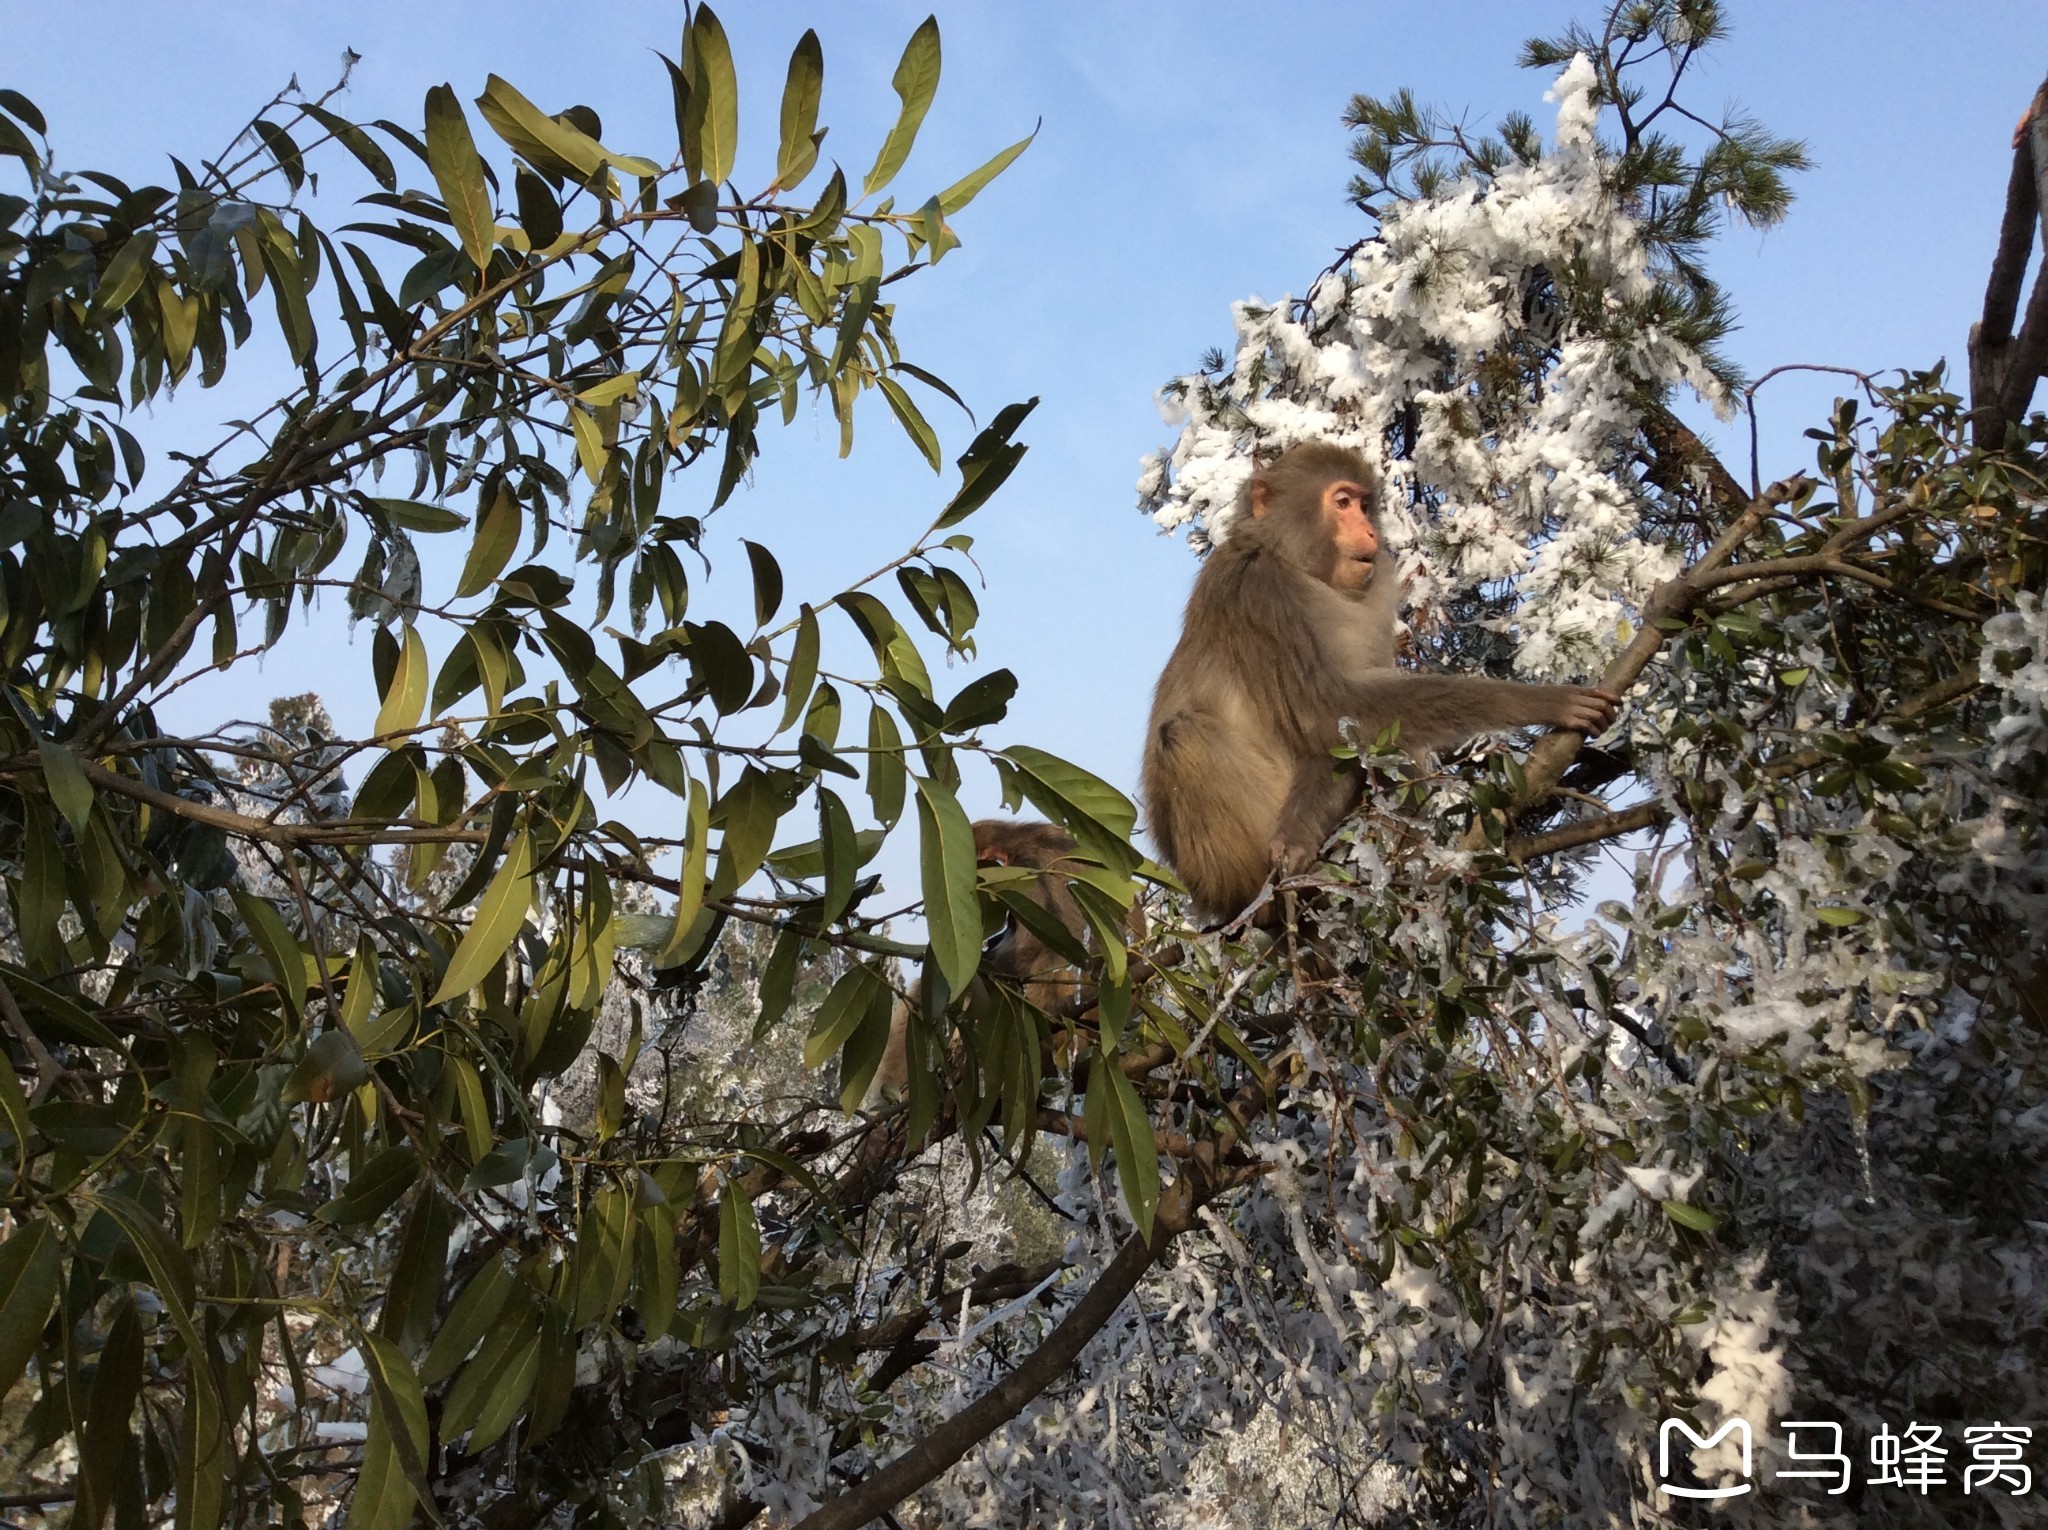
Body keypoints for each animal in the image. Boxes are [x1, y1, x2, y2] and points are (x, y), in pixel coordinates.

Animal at [1138, 436, 1613, 925]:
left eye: (1365, 505)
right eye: (1342, 503)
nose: (1369, 531)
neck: (1293, 564)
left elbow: (1347, 733)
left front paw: (1300, 841)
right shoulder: (1259, 591)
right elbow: (1327, 710)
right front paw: (1542, 702)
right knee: (1183, 735)